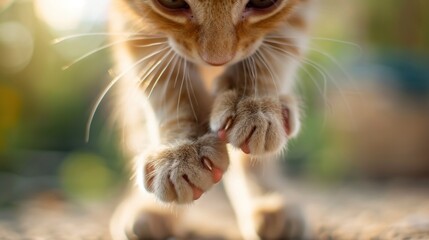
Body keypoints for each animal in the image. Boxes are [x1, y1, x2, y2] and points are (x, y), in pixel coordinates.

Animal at [108, 0, 312, 238]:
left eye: (262, 2)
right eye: (172, 2)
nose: (217, 60)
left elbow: (275, 49)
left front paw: (255, 104)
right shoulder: (132, 22)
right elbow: (164, 79)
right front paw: (180, 150)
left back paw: (266, 198)